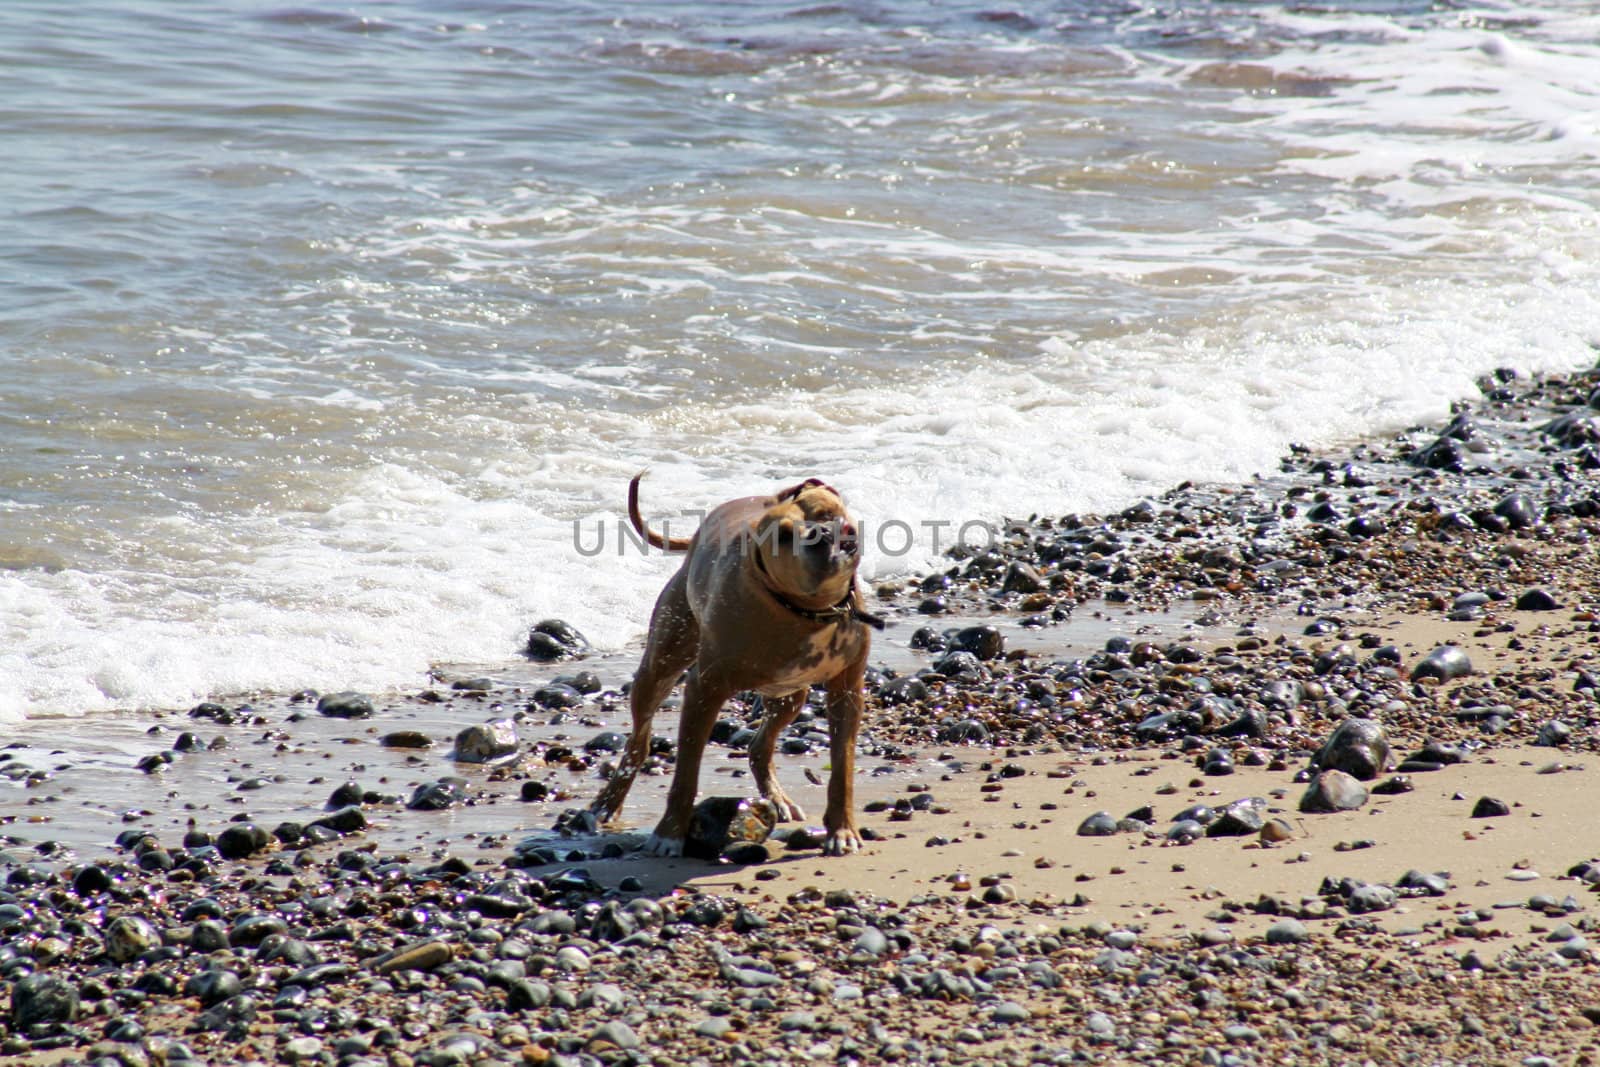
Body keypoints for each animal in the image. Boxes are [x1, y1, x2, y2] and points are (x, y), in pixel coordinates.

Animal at [592, 470, 883, 857]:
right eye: (784, 536)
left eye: (826, 512)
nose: (823, 533)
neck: (810, 609)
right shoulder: (704, 690)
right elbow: (686, 774)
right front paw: (669, 832)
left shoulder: (847, 693)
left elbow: (842, 769)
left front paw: (842, 829)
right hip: (660, 664)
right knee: (638, 743)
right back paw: (608, 802)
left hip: (790, 695)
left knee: (760, 745)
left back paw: (777, 797)